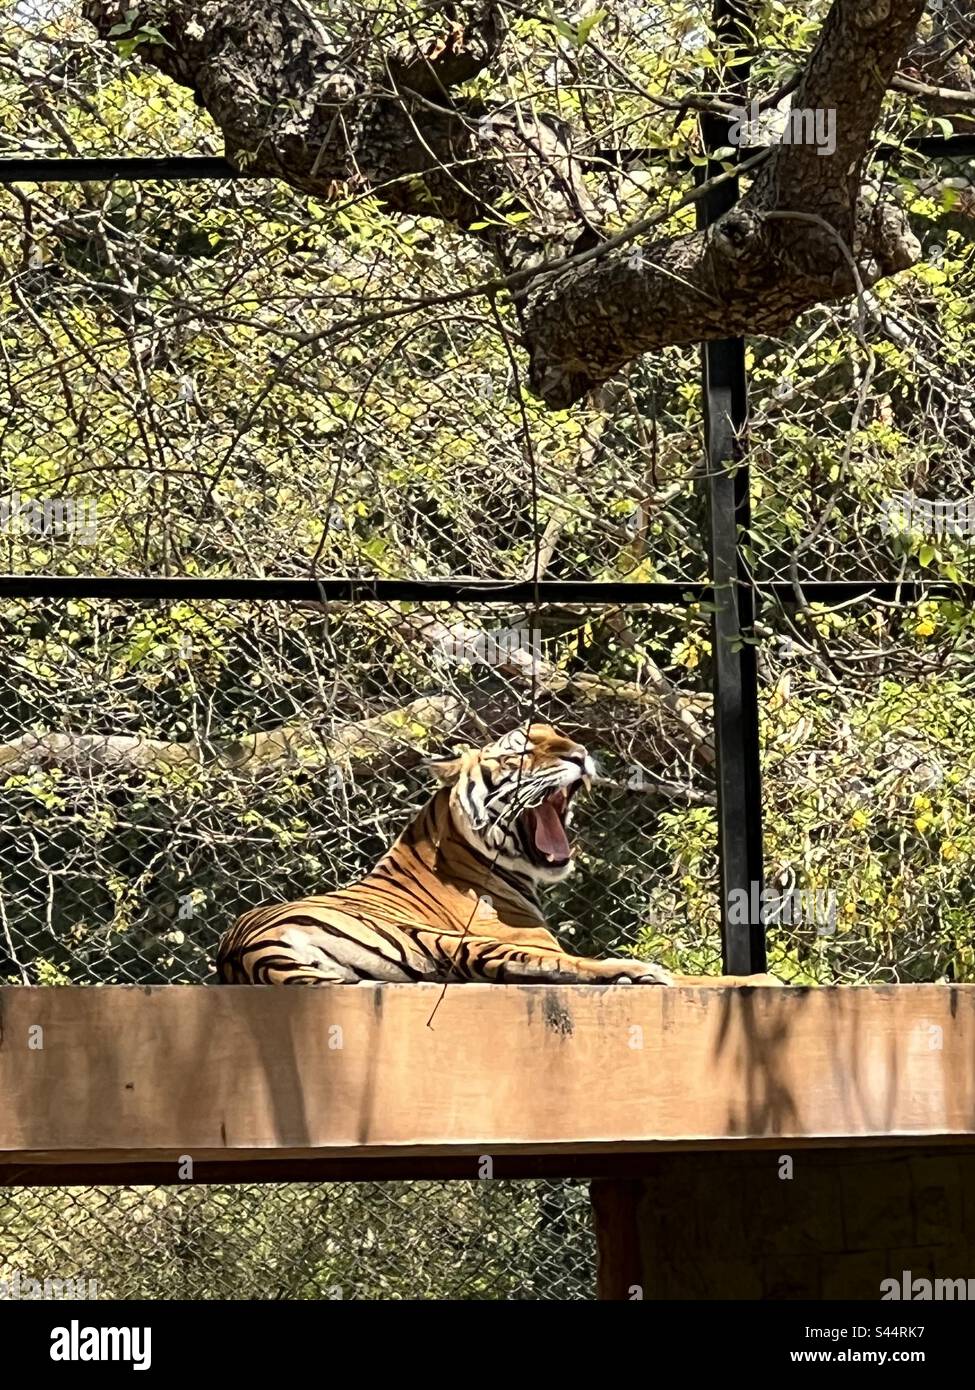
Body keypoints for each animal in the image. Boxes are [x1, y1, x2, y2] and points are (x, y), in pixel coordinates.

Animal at [216, 722, 778, 984]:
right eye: (522, 751)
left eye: (561, 735)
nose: (580, 754)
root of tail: (244, 952)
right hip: (445, 941)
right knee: (560, 966)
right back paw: (647, 971)